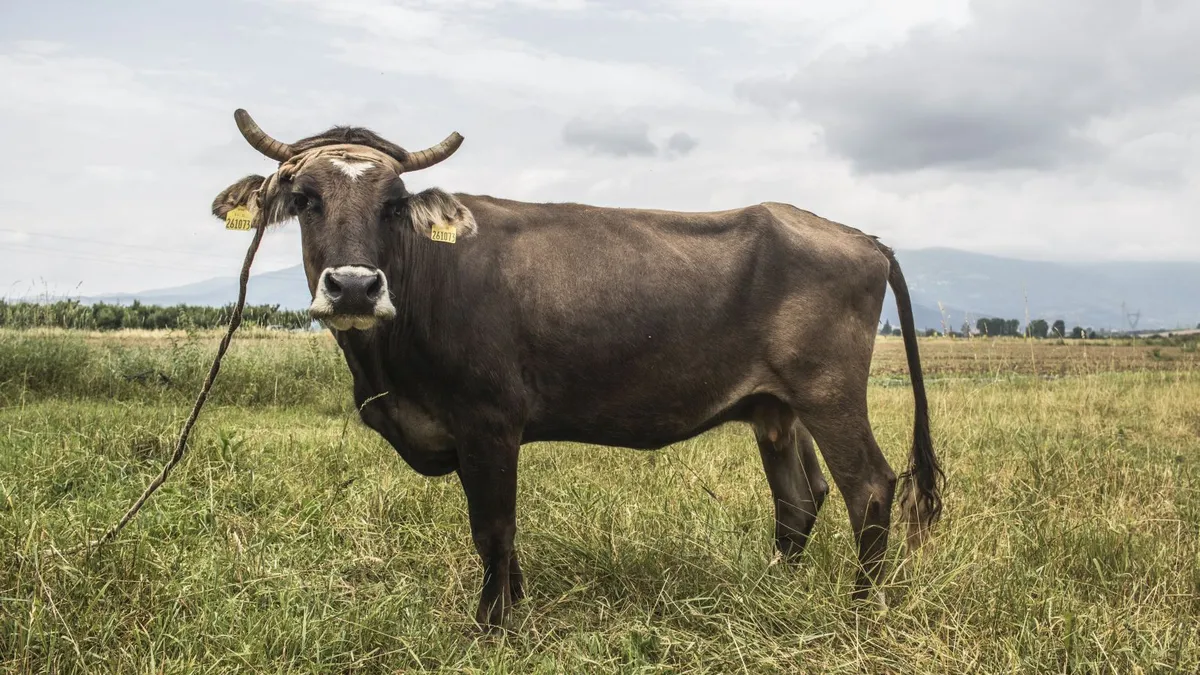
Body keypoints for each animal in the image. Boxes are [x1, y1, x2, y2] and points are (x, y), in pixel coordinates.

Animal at [211, 107, 940, 629]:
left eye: (392, 203)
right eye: (305, 198)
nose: (356, 287)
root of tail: (861, 236)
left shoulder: (489, 420)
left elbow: (493, 528)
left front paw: (492, 626)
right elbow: (501, 535)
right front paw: (514, 605)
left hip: (829, 391)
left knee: (870, 488)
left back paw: (858, 612)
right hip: (776, 406)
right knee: (799, 498)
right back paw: (768, 589)